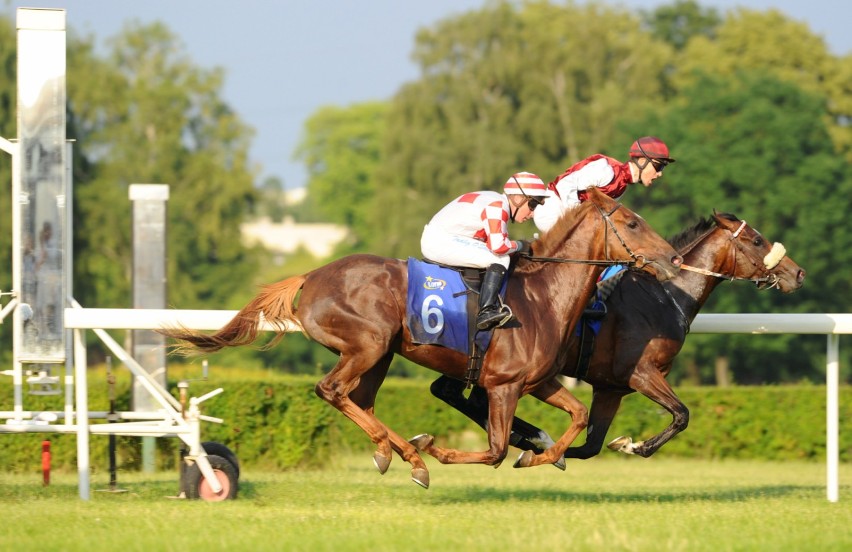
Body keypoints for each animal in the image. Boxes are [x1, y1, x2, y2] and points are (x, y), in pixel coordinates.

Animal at [158, 189, 680, 488]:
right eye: (633, 222)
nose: (673, 258)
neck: (543, 295)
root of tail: (311, 275)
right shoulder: (505, 385)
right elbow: (494, 449)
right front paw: (446, 449)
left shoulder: (538, 381)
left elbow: (577, 416)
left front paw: (540, 456)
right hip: (368, 344)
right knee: (332, 390)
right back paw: (411, 453)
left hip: (381, 354)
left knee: (360, 401)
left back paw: (401, 454)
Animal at [432, 211, 804, 462]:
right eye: (757, 240)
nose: (798, 273)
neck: (665, 295)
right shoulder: (640, 373)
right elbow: (682, 414)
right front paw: (635, 445)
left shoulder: (610, 387)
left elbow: (591, 446)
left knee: (450, 392)